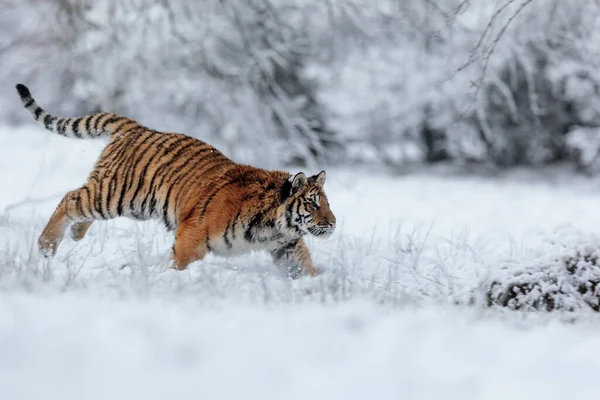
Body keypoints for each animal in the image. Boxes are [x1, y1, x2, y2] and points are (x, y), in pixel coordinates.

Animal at [15, 83, 338, 278]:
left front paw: (315, 284)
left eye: (326, 203)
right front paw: (173, 280)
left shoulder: (287, 246)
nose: (333, 223)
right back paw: (46, 247)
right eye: (312, 204)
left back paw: (75, 234)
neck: (273, 226)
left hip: (135, 205)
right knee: (71, 198)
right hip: (116, 194)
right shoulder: (193, 233)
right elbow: (181, 261)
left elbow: (304, 265)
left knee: (78, 206)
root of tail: (136, 127)